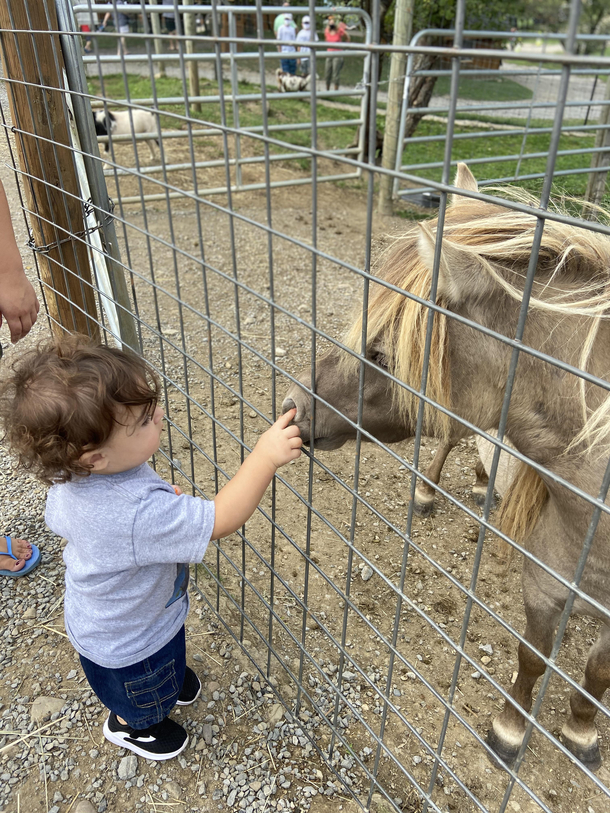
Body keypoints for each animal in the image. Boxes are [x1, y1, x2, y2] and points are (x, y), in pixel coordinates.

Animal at [282, 163, 608, 768]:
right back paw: (436, 492)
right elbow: (533, 655)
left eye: (382, 354)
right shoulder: (544, 582)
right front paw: (510, 730)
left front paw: (580, 733)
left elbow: (596, 672)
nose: (293, 407)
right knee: (456, 440)